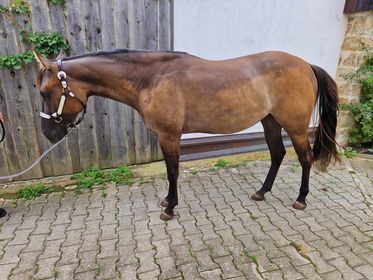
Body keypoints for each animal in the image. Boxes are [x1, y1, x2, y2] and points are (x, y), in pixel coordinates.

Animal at [33, 49, 338, 221]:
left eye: (45, 92)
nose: (48, 134)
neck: (152, 79)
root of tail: (306, 65)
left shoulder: (170, 136)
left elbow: (172, 172)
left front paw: (169, 209)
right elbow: (171, 171)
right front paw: (168, 202)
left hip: (295, 127)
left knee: (305, 158)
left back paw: (301, 199)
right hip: (270, 122)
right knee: (277, 154)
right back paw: (261, 192)